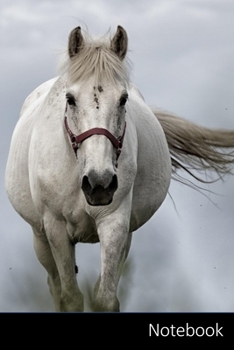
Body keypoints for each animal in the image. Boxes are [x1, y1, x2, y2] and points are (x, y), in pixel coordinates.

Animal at [4, 25, 234, 312]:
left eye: (123, 99)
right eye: (70, 99)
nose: (98, 183)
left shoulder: (115, 223)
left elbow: (104, 299)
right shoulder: (55, 228)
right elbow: (70, 298)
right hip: (40, 237)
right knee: (54, 285)